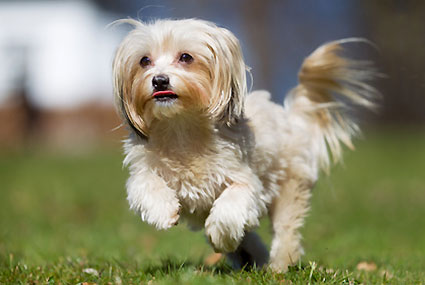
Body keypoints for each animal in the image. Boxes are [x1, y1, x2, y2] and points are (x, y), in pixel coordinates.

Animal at [112, 17, 378, 270]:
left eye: (186, 57)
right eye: (144, 61)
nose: (159, 80)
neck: (181, 128)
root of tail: (291, 118)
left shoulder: (245, 182)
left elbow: (230, 208)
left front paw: (219, 235)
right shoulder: (143, 168)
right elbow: (144, 184)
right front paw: (163, 211)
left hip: (290, 187)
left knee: (285, 231)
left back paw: (278, 266)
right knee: (249, 237)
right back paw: (251, 257)